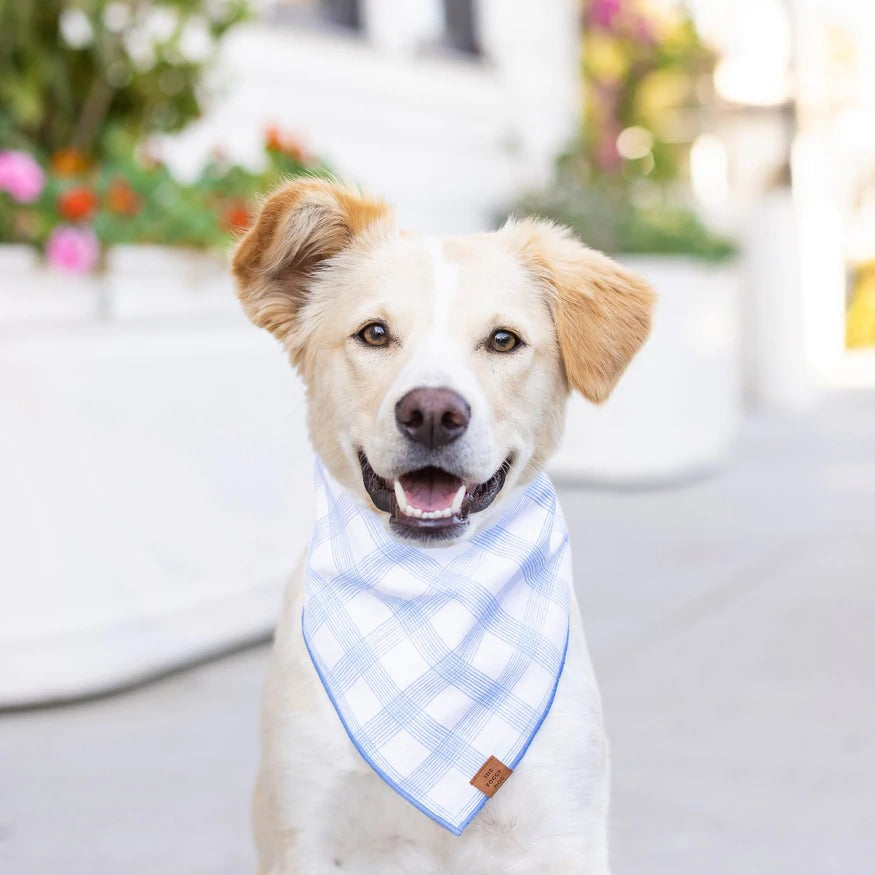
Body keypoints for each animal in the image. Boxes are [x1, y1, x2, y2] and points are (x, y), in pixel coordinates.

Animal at [229, 180, 652, 875]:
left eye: (503, 341)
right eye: (375, 333)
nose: (431, 412)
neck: (435, 592)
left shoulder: (562, 829)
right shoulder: (309, 828)